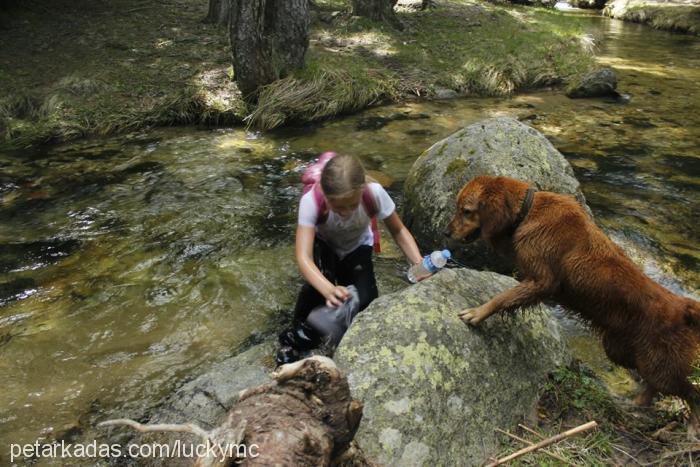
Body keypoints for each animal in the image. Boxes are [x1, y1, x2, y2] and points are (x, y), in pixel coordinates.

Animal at [446, 175, 696, 436]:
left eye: (466, 211)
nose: (446, 231)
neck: (528, 211)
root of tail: (685, 309)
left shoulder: (542, 281)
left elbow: (503, 297)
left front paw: (477, 313)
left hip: (658, 365)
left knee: (690, 391)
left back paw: (692, 428)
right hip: (622, 352)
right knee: (654, 386)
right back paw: (637, 403)